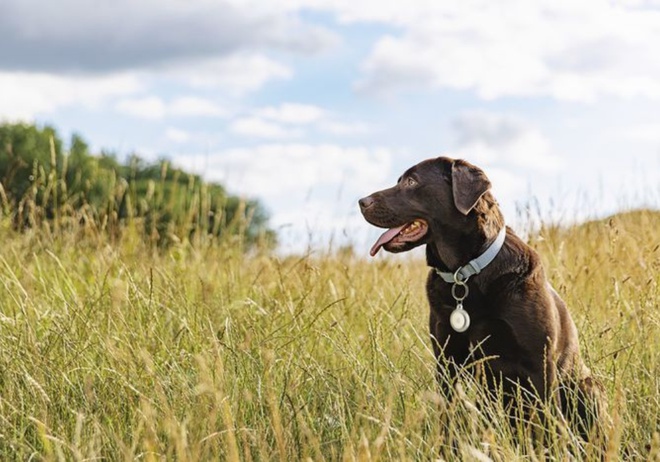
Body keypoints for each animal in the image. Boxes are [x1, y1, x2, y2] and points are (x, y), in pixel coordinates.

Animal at [358, 158, 604, 440]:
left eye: (411, 181)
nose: (361, 201)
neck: (464, 275)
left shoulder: (540, 365)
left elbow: (546, 425)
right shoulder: (447, 363)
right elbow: (448, 419)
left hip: (588, 386)